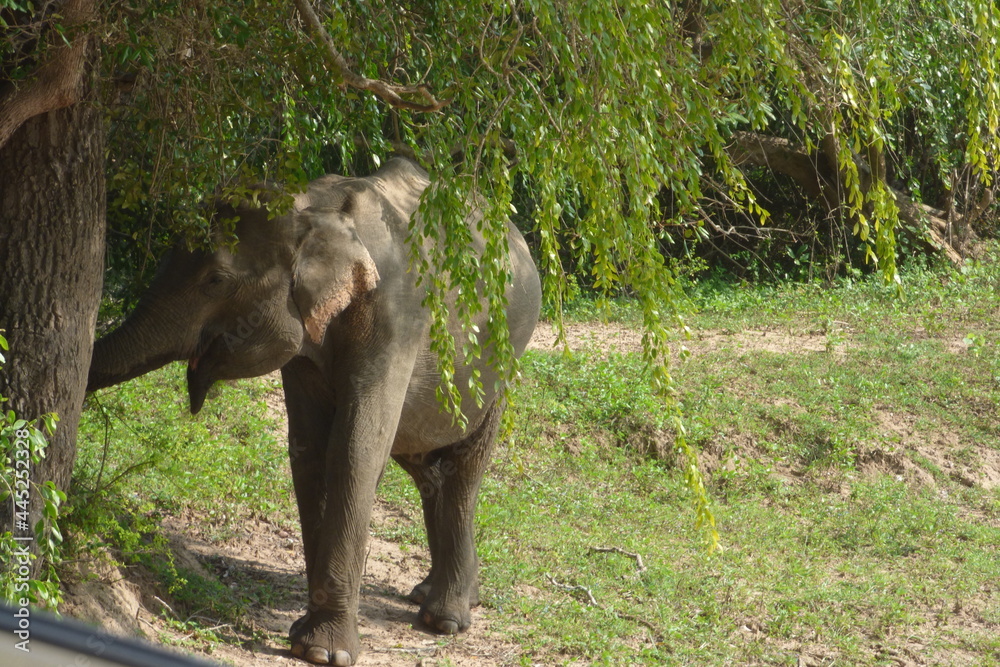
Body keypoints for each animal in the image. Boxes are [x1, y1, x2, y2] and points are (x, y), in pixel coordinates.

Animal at [87, 157, 542, 666]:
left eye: (216, 280)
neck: (310, 208)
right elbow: (310, 451)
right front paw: (307, 638)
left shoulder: (398, 319)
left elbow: (354, 450)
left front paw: (323, 652)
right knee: (426, 465)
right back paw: (433, 594)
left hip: (504, 361)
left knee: (463, 466)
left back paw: (444, 619)